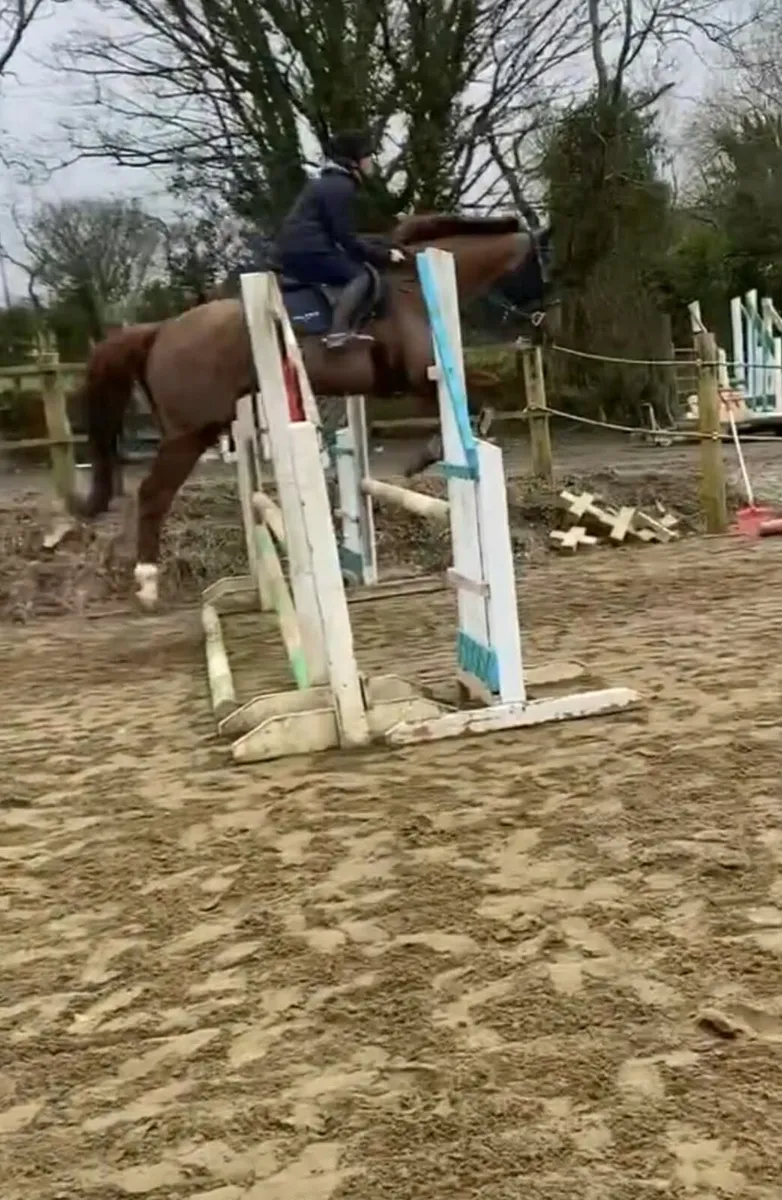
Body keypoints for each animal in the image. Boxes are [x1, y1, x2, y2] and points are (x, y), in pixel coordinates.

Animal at [63, 212, 554, 608]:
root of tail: (161, 329)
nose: (544, 323)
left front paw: (431, 450)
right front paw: (433, 450)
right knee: (152, 495)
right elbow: (484, 395)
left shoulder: (406, 385)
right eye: (543, 266)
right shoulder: (419, 376)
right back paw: (147, 583)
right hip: (189, 432)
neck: (417, 288)